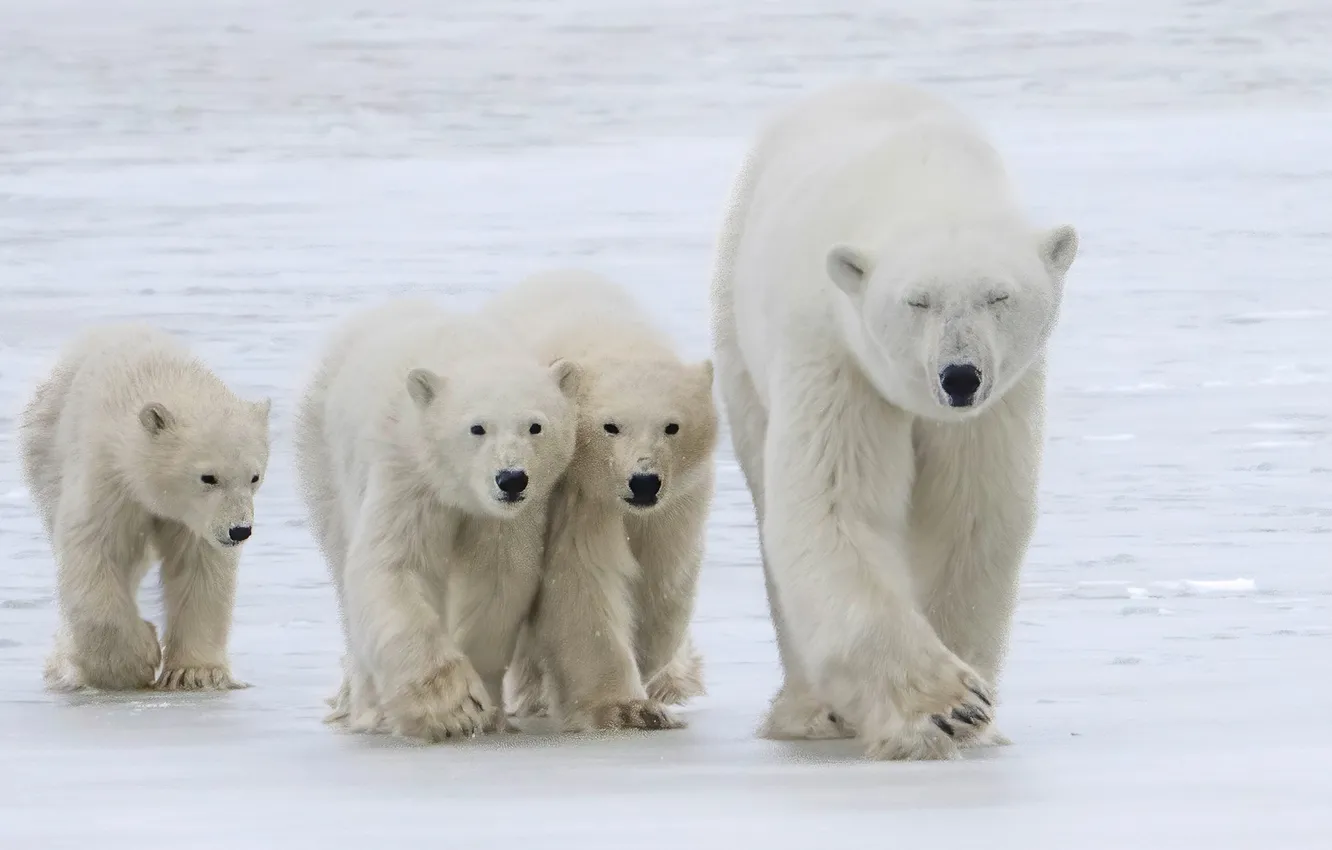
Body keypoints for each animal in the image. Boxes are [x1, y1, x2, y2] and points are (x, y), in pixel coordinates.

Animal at [17, 324, 272, 692]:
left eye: (254, 476)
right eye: (208, 477)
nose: (239, 530)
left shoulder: (196, 522)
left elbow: (199, 569)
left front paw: (195, 672)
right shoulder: (108, 475)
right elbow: (96, 552)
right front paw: (134, 661)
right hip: (45, 451)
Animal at [292, 297, 581, 742]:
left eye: (535, 425)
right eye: (477, 427)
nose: (511, 478)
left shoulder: (504, 516)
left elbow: (497, 579)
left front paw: (485, 704)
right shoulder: (408, 474)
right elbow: (396, 565)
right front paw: (453, 710)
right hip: (322, 453)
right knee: (342, 560)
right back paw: (364, 707)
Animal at [485, 270, 718, 733]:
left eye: (672, 426)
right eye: (611, 426)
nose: (644, 482)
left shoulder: (676, 502)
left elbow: (662, 577)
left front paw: (651, 678)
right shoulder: (573, 493)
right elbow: (582, 577)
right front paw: (627, 708)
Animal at [708, 79, 1079, 760]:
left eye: (998, 295)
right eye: (917, 301)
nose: (959, 376)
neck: (922, 175)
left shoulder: (996, 403)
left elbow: (968, 513)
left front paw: (974, 712)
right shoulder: (836, 349)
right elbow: (835, 506)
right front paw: (946, 706)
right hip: (738, 330)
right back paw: (813, 711)